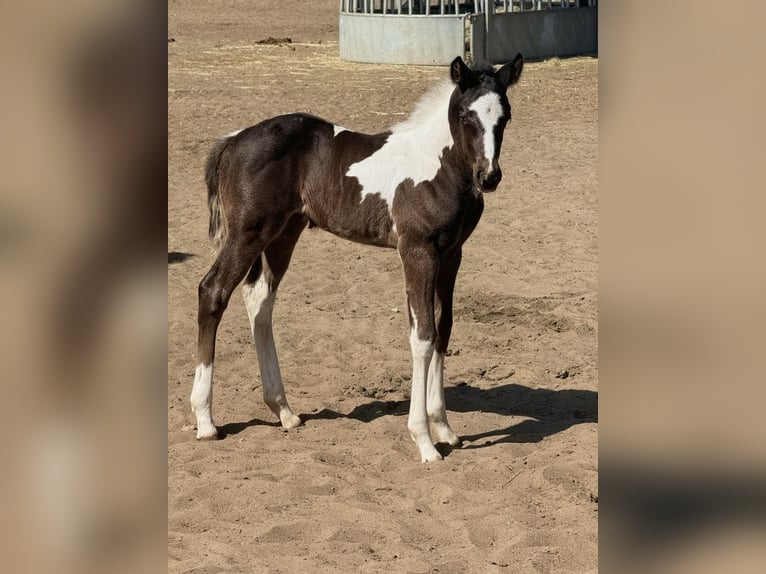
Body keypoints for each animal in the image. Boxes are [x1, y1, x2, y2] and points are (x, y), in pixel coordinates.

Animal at [191, 54, 524, 462]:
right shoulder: (417, 252)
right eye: (464, 114)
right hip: (247, 233)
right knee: (213, 291)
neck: (436, 165)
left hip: (282, 234)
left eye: (505, 116)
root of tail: (233, 140)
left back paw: (284, 411)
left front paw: (444, 428)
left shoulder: (451, 255)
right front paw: (424, 441)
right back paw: (206, 421)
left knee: (259, 301)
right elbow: (423, 336)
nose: (488, 176)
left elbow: (443, 331)